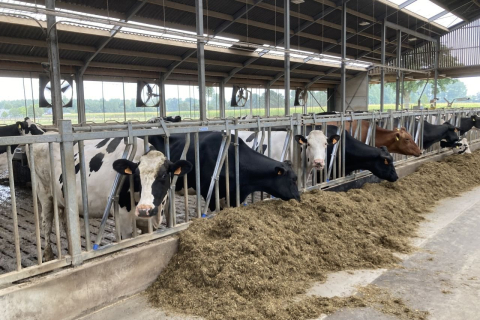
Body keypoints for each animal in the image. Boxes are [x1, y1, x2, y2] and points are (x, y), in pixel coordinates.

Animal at [29, 135, 191, 260]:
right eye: (136, 176)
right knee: (47, 222)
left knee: (65, 222)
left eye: (163, 175)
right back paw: (48, 255)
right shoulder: (124, 220)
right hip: (44, 193)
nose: (144, 210)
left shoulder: (151, 222)